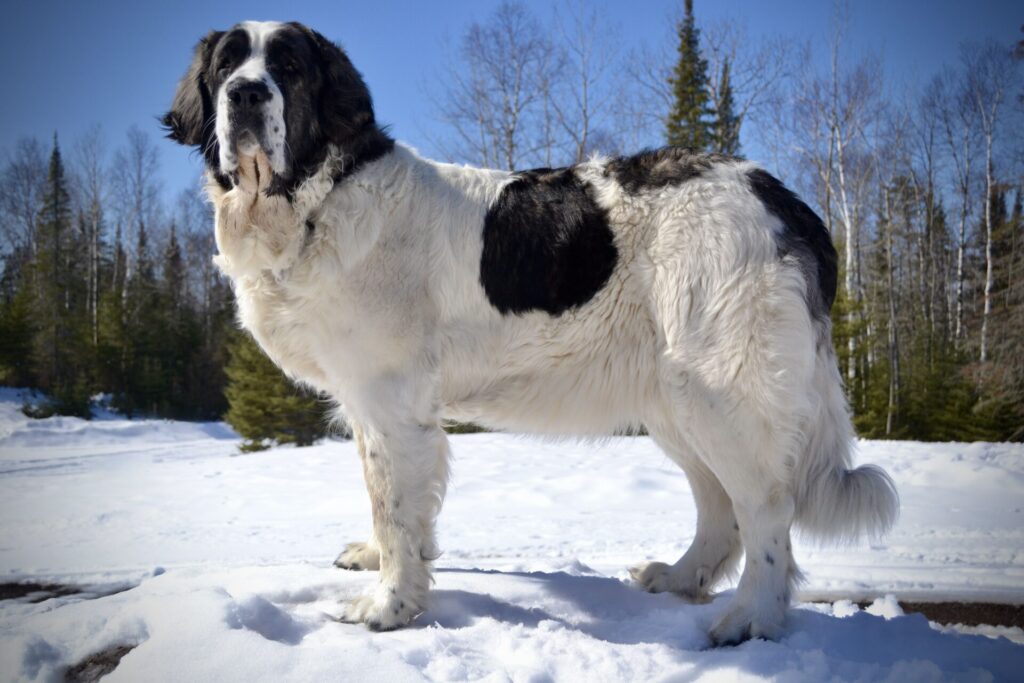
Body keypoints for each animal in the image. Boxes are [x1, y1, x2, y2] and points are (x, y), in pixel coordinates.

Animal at [163, 18, 892, 643]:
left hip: (722, 390)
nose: (246, 93)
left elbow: (396, 506)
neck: (315, 200)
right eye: (227, 64)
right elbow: (384, 496)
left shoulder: (392, 400)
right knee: (720, 504)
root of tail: (785, 200)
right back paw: (679, 577)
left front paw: (390, 605)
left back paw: (750, 619)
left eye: (287, 67)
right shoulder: (372, 405)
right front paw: (376, 559)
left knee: (765, 506)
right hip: (677, 399)